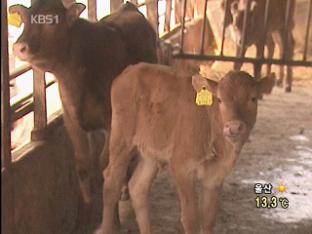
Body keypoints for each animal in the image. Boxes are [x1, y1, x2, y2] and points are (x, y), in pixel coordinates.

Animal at [10, 0, 157, 209]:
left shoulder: (112, 121)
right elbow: (82, 163)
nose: (19, 47)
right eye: (24, 20)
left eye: (51, 21)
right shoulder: (72, 121)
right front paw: (86, 203)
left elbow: (105, 161)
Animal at [96, 62, 274, 234]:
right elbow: (190, 218)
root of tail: (130, 70)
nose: (234, 127)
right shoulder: (182, 167)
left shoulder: (215, 177)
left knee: (138, 187)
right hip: (121, 140)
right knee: (111, 181)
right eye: (220, 99)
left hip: (150, 152)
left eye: (253, 98)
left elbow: (208, 219)